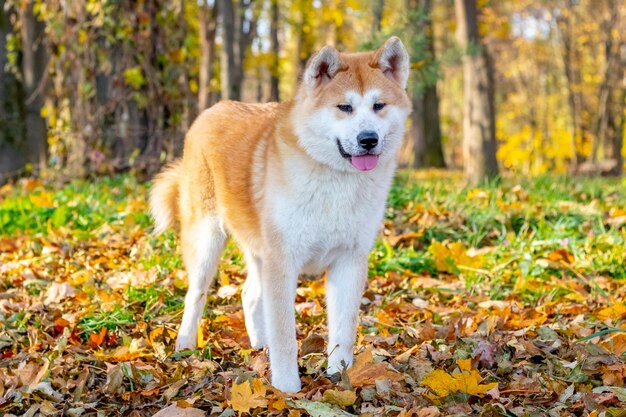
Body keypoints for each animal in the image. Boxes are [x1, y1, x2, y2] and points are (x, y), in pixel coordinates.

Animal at [149, 36, 412, 394]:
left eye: (379, 106)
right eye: (344, 107)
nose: (368, 139)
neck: (335, 183)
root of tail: (212, 109)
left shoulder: (349, 260)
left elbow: (343, 331)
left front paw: (339, 378)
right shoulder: (283, 260)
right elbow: (286, 334)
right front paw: (287, 388)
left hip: (258, 251)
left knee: (249, 295)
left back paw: (260, 345)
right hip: (208, 241)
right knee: (196, 295)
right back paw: (186, 346)